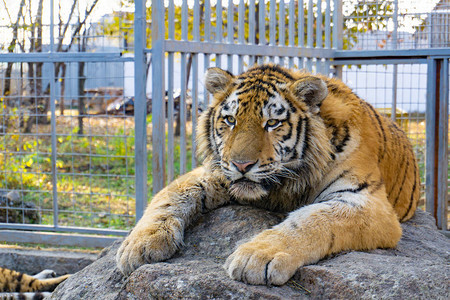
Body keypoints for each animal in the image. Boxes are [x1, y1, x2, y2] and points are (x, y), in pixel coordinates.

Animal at [115, 63, 418, 286]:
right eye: (230, 120)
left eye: (272, 123)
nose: (242, 165)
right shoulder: (216, 172)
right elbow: (169, 196)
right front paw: (136, 245)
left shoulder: (365, 201)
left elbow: (311, 220)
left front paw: (255, 257)